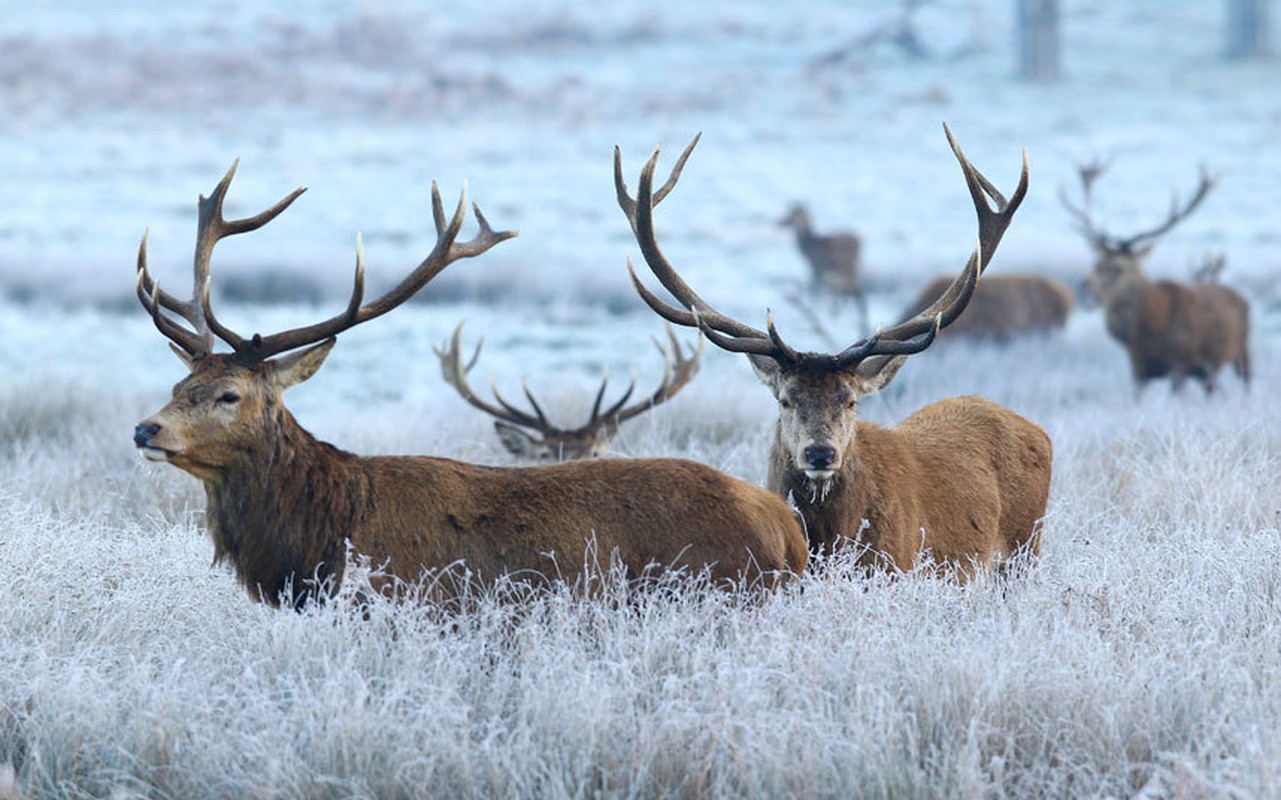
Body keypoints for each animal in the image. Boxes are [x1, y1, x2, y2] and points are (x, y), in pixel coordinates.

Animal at [617, 126, 1050, 573]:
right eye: (786, 400)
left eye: (850, 401)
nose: (820, 453)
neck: (830, 539)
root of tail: (1038, 431)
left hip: (1024, 549)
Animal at [1060, 156, 1250, 394]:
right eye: (1096, 263)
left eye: (1120, 268)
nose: (1085, 285)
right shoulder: (1137, 368)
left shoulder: (1179, 362)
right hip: (1209, 371)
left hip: (1243, 353)